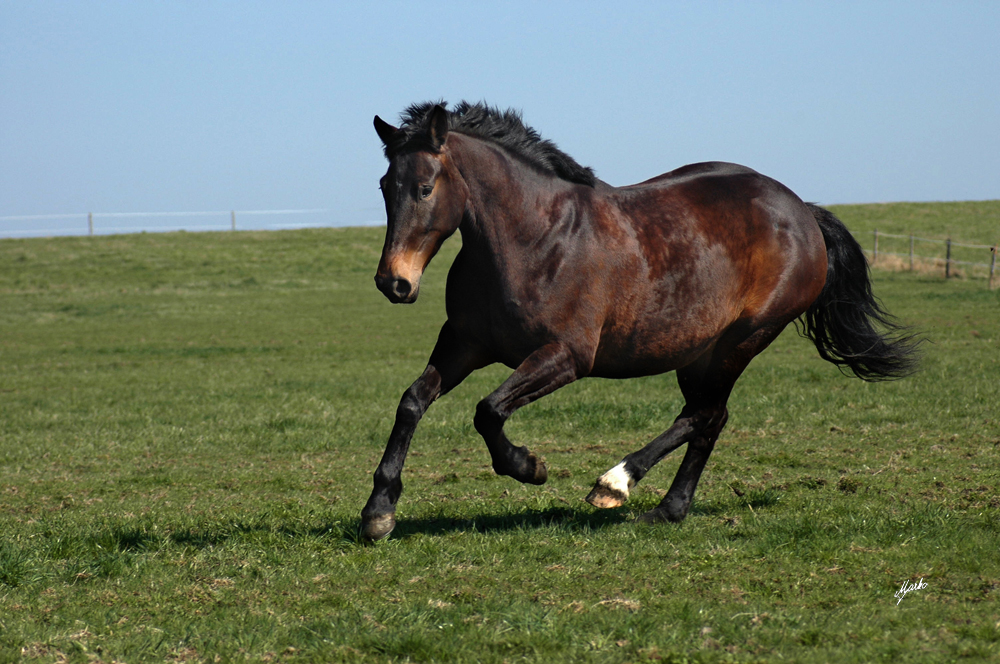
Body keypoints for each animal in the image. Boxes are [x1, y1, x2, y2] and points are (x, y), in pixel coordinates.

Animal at [364, 101, 916, 544]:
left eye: (425, 188)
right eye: (385, 186)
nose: (394, 283)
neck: (533, 239)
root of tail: (801, 210)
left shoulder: (565, 356)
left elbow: (489, 409)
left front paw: (529, 467)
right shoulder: (464, 343)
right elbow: (413, 401)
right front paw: (378, 512)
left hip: (741, 340)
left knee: (704, 416)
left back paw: (615, 484)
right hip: (696, 351)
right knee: (709, 419)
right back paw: (669, 509)